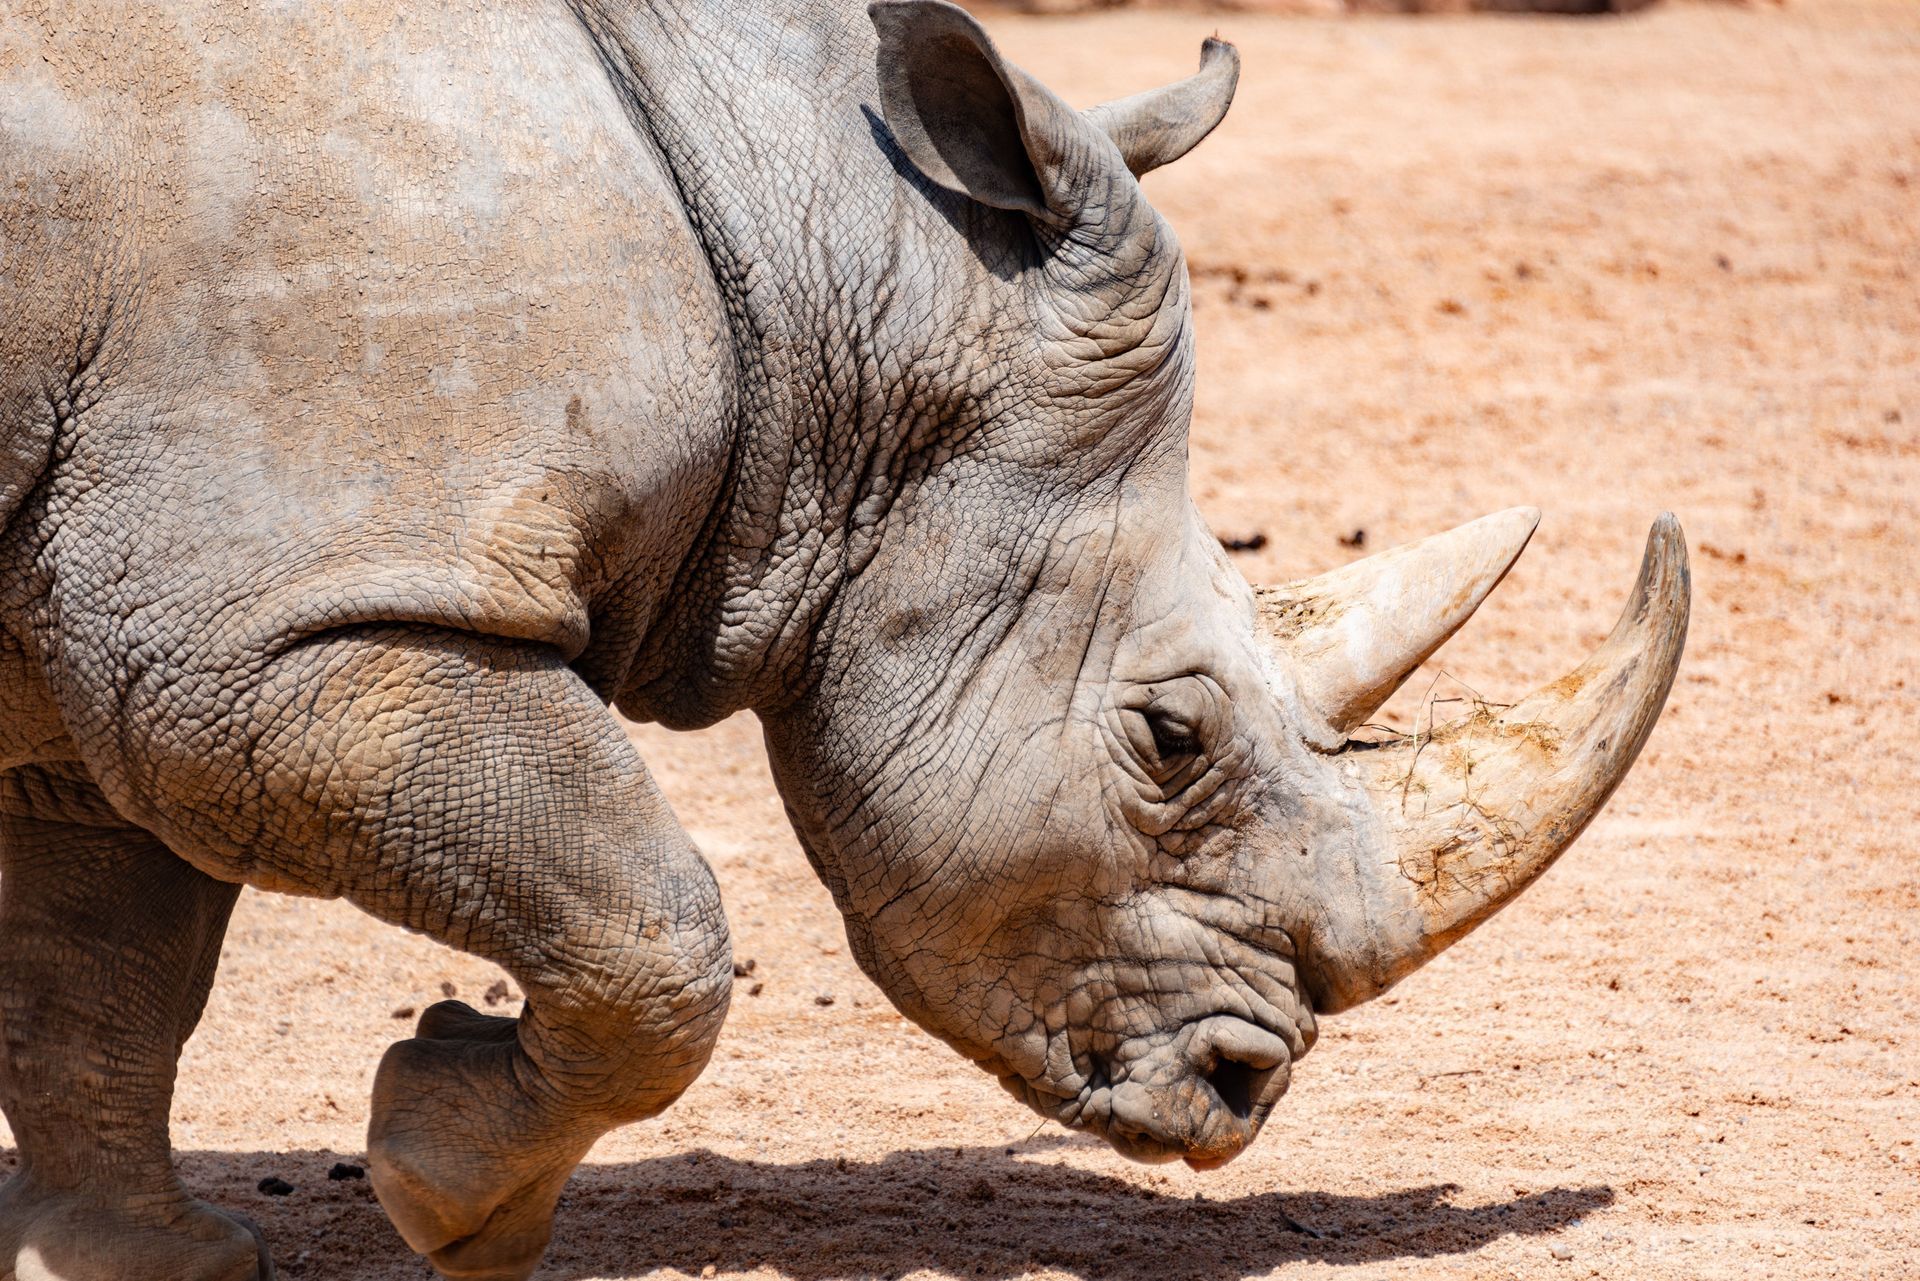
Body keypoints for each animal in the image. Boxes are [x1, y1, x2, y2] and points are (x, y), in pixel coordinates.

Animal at [0, 0, 1688, 1277]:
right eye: (1172, 738)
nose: (1241, 1089)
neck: (814, 269)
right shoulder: (281, 630)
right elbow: (653, 931)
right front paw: (444, 1190)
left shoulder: (145, 641)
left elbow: (103, 972)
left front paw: (130, 1263)